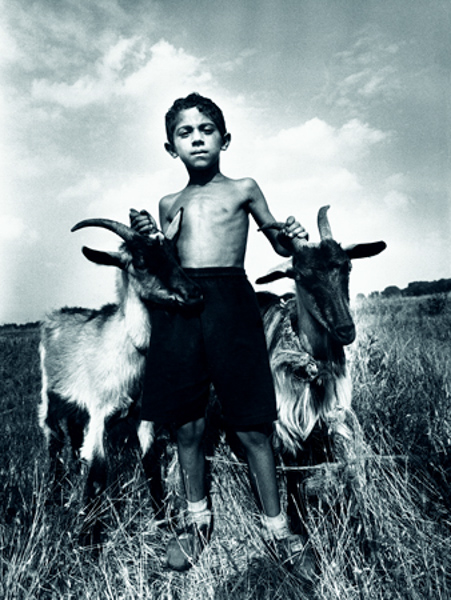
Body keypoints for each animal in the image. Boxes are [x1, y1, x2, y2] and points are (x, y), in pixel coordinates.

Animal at [39, 209, 202, 532]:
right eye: (141, 260)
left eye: (174, 253)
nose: (194, 294)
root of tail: (55, 315)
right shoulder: (100, 415)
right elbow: (98, 475)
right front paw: (87, 539)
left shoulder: (142, 415)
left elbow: (150, 464)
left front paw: (162, 522)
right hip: (50, 397)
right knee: (54, 440)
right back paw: (53, 498)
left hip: (77, 409)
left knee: (73, 438)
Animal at [256, 205, 386, 533]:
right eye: (301, 276)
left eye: (347, 266)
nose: (345, 330)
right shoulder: (286, 424)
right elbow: (293, 475)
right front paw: (300, 528)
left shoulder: (329, 416)